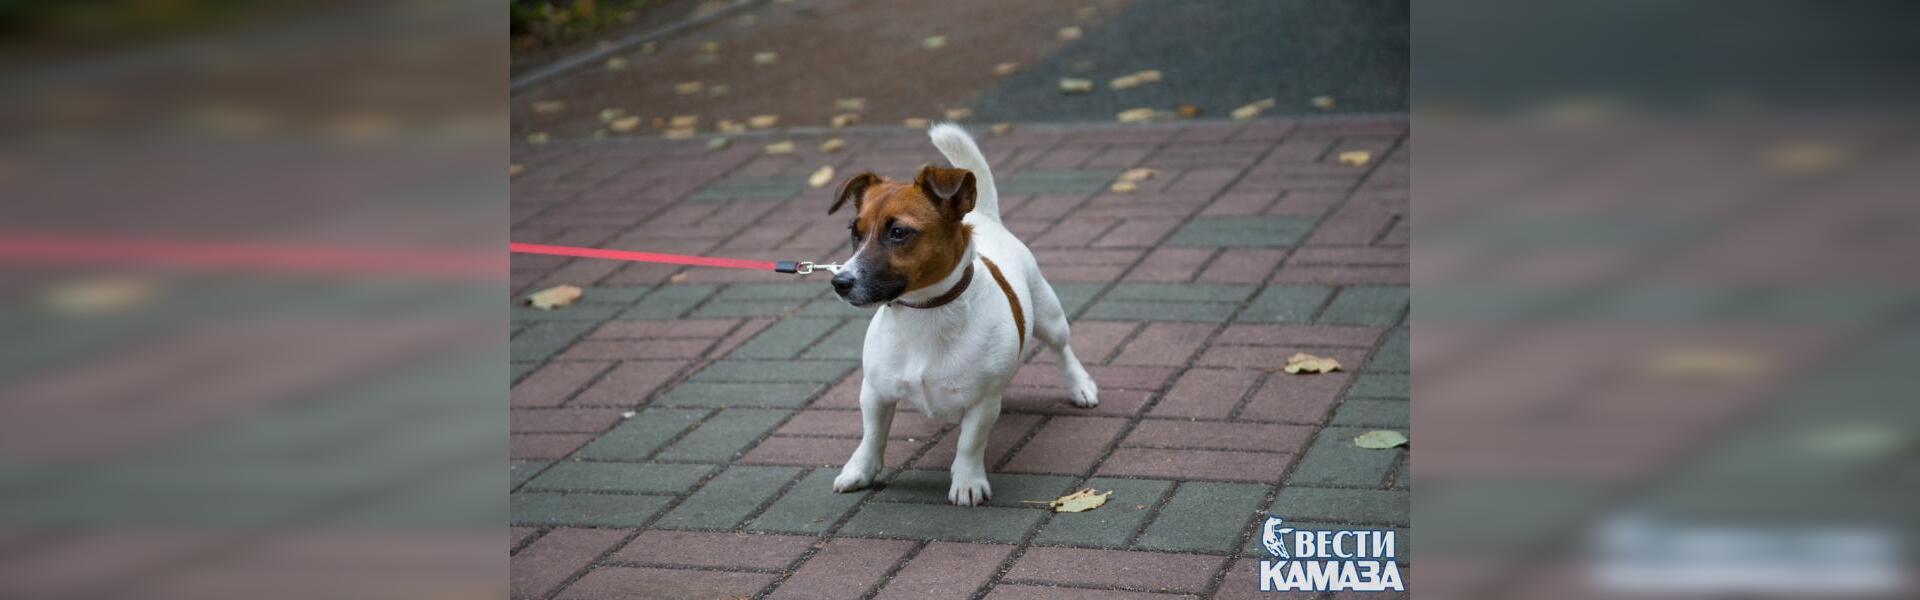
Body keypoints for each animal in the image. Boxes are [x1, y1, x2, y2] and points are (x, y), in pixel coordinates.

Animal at [821, 123, 1098, 507]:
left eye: (899, 232)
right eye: (854, 232)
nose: (840, 282)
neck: (925, 312)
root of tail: (988, 217)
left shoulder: (984, 402)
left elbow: (970, 443)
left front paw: (967, 482)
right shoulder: (874, 392)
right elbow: (872, 437)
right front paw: (860, 471)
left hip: (1049, 316)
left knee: (1062, 349)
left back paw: (1080, 385)